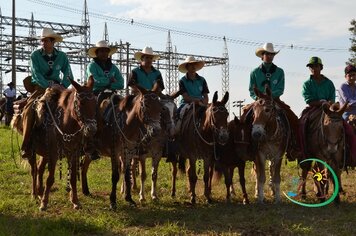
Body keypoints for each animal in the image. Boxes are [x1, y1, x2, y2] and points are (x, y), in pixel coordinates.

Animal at [11, 78, 97, 210]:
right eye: (81, 103)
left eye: (95, 103)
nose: (92, 129)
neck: (66, 124)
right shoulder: (53, 154)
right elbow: (50, 179)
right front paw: (44, 203)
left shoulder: (73, 153)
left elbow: (72, 178)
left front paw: (75, 201)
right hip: (32, 151)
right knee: (34, 169)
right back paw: (34, 194)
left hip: (44, 153)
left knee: (40, 168)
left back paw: (40, 192)